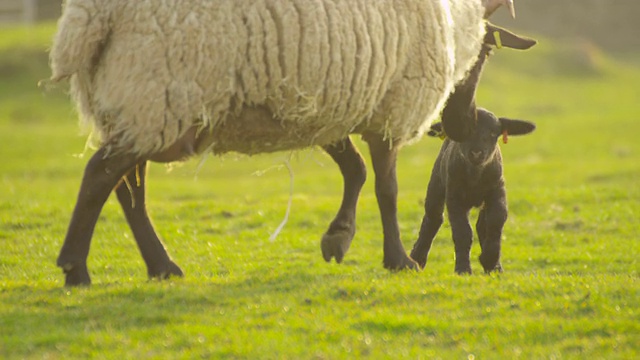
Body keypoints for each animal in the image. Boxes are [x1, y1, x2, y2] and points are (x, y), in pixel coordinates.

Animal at [410, 108, 536, 274]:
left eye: (493, 133)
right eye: (465, 131)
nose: (476, 153)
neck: (476, 176)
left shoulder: (498, 191)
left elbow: (496, 222)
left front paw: (489, 260)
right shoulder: (454, 196)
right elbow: (462, 231)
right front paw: (463, 269)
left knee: (481, 225)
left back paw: (495, 267)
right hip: (436, 183)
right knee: (433, 219)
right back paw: (417, 258)